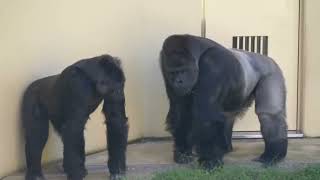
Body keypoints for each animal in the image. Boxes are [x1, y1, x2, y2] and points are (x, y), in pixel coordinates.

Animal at [160, 34, 288, 169]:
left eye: (183, 71)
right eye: (172, 73)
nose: (178, 82)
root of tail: (266, 58)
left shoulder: (213, 63)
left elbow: (207, 116)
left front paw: (210, 160)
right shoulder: (164, 64)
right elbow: (180, 111)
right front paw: (183, 152)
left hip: (271, 71)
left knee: (269, 115)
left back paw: (273, 155)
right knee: (228, 115)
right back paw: (225, 148)